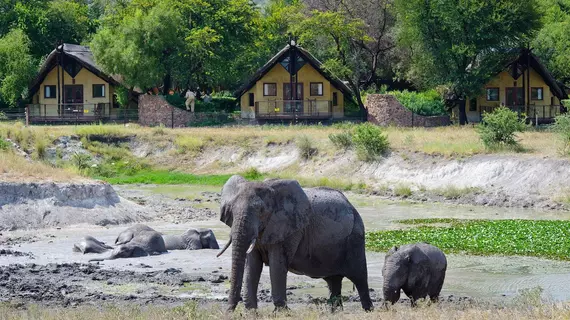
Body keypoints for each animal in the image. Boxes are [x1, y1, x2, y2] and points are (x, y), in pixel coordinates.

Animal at [215, 176, 370, 312]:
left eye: (261, 211)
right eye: (230, 210)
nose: (228, 312)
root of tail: (351, 205)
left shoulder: (290, 229)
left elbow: (277, 265)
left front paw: (282, 313)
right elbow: (252, 265)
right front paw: (252, 312)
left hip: (355, 238)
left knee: (359, 278)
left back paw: (368, 310)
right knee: (334, 281)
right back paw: (335, 313)